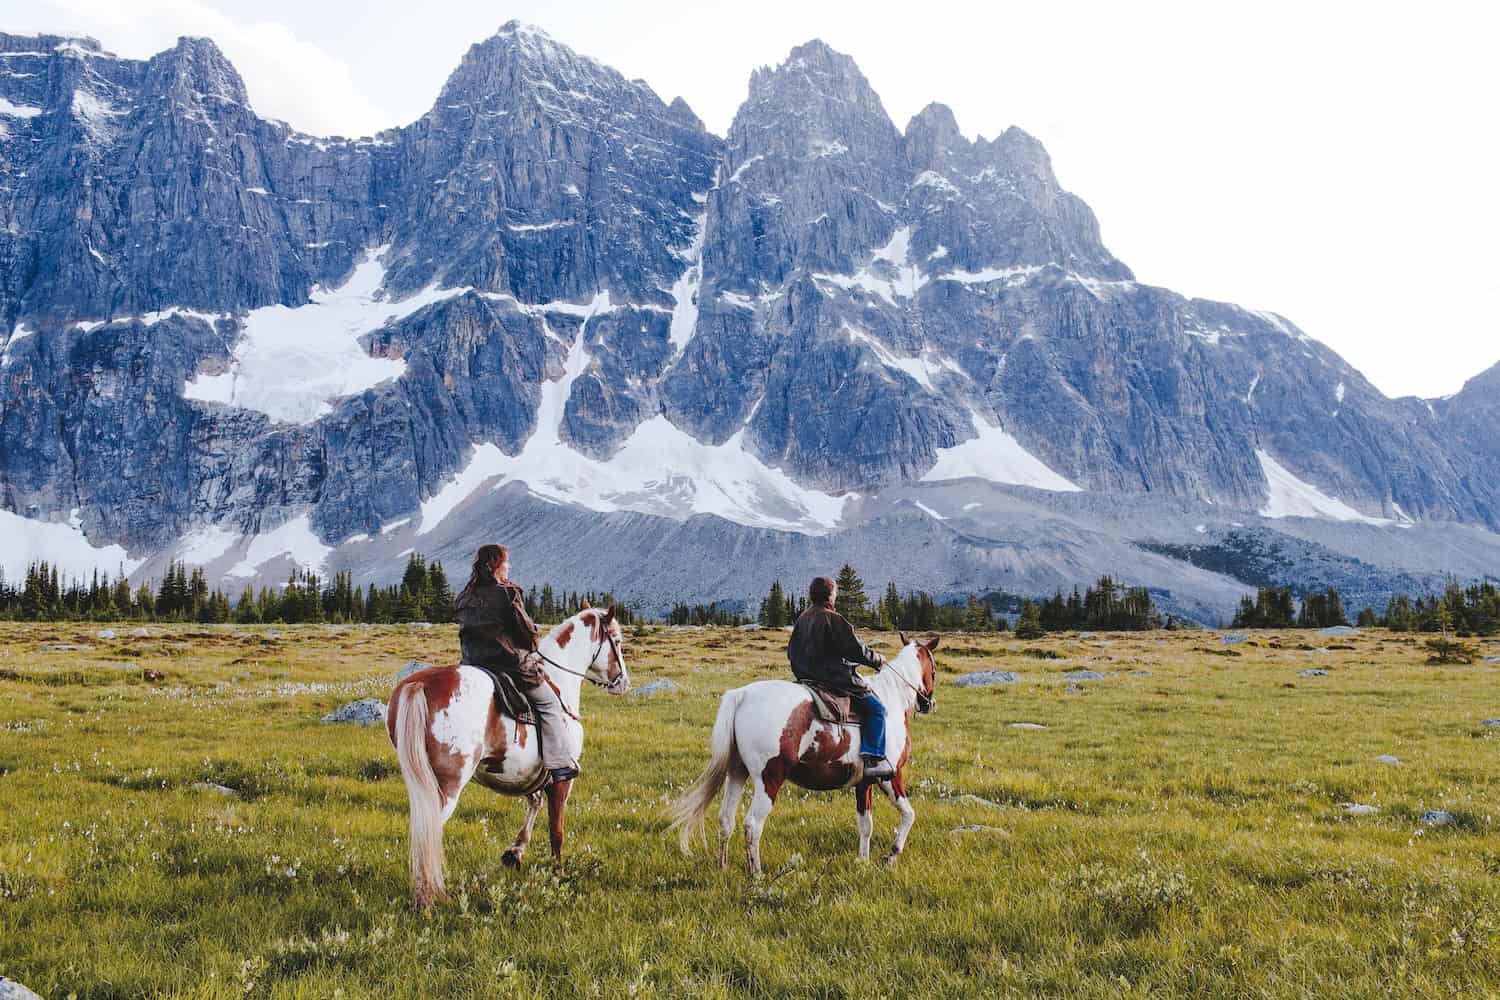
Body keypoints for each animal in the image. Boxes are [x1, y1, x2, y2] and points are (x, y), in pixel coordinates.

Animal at [387, 599, 627, 911]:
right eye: (617, 641)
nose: (623, 682)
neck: (559, 683)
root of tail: (421, 685)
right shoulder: (562, 778)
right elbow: (556, 831)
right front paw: (557, 873)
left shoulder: (533, 774)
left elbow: (534, 802)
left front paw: (515, 852)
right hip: (445, 787)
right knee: (429, 833)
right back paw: (429, 896)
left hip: (419, 782)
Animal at [669, 638, 936, 869]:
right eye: (933, 668)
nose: (928, 704)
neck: (892, 700)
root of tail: (742, 695)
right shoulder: (890, 775)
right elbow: (908, 815)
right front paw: (891, 855)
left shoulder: (864, 783)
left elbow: (865, 825)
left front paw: (863, 861)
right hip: (769, 779)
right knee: (752, 825)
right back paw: (757, 874)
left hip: (736, 773)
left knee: (726, 819)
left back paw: (723, 866)